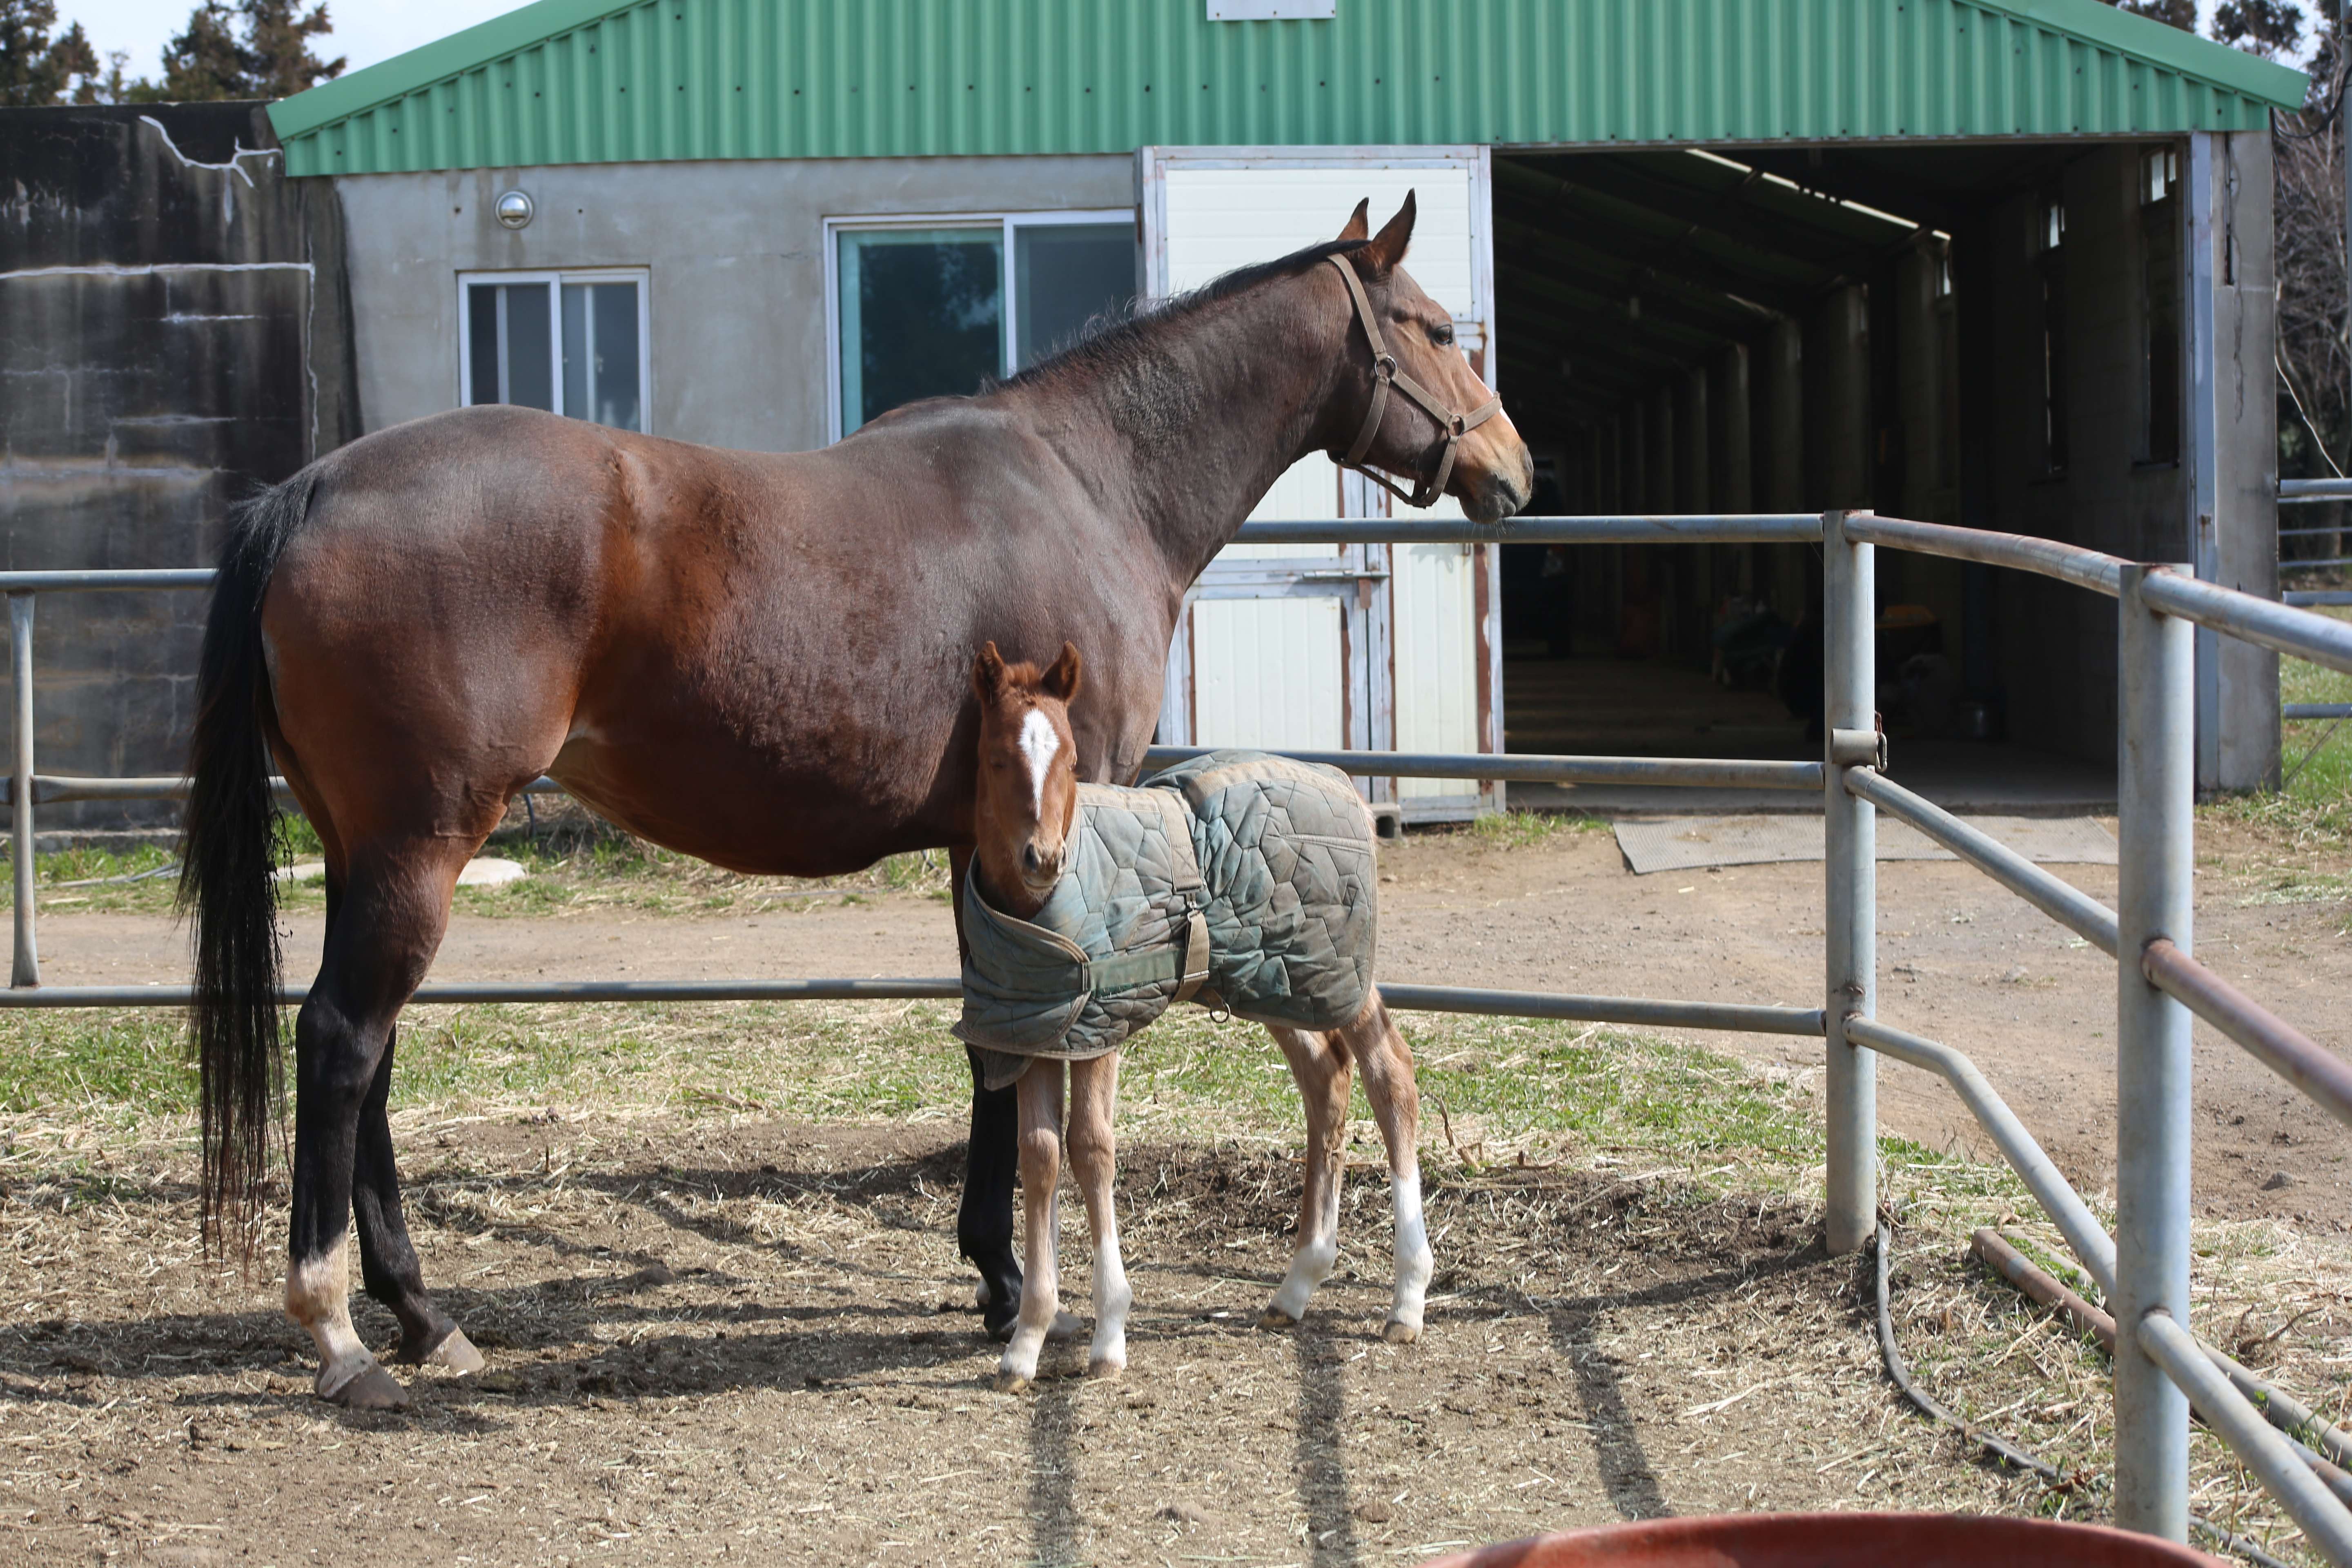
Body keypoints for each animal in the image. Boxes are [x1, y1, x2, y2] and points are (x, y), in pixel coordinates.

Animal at [960, 644, 1430, 1392]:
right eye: (999, 758)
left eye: (1071, 758)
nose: (1044, 859)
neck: (1038, 913)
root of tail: (1348, 786)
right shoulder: (1035, 1033)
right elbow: (1039, 1156)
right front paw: (1026, 1341)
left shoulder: (1099, 1028)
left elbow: (1091, 1148)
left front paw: (1109, 1335)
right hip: (1280, 982)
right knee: (1327, 1078)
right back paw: (1297, 1285)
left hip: (1340, 974)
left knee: (1391, 1075)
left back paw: (1408, 1297)